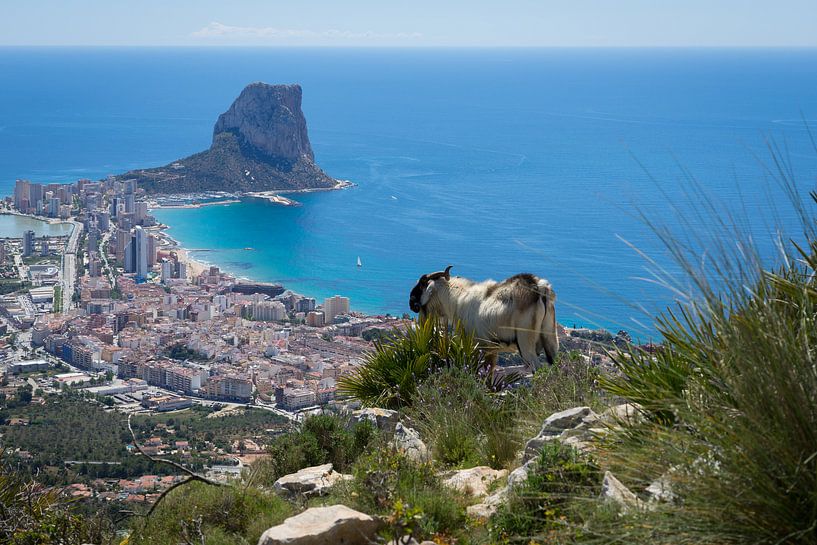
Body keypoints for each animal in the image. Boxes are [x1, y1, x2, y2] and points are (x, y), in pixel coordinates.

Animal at [406, 266, 556, 372]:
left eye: (421, 285)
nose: (411, 303)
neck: (456, 299)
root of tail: (540, 288)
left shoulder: (477, 346)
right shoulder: (492, 349)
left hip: (525, 343)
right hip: (550, 340)